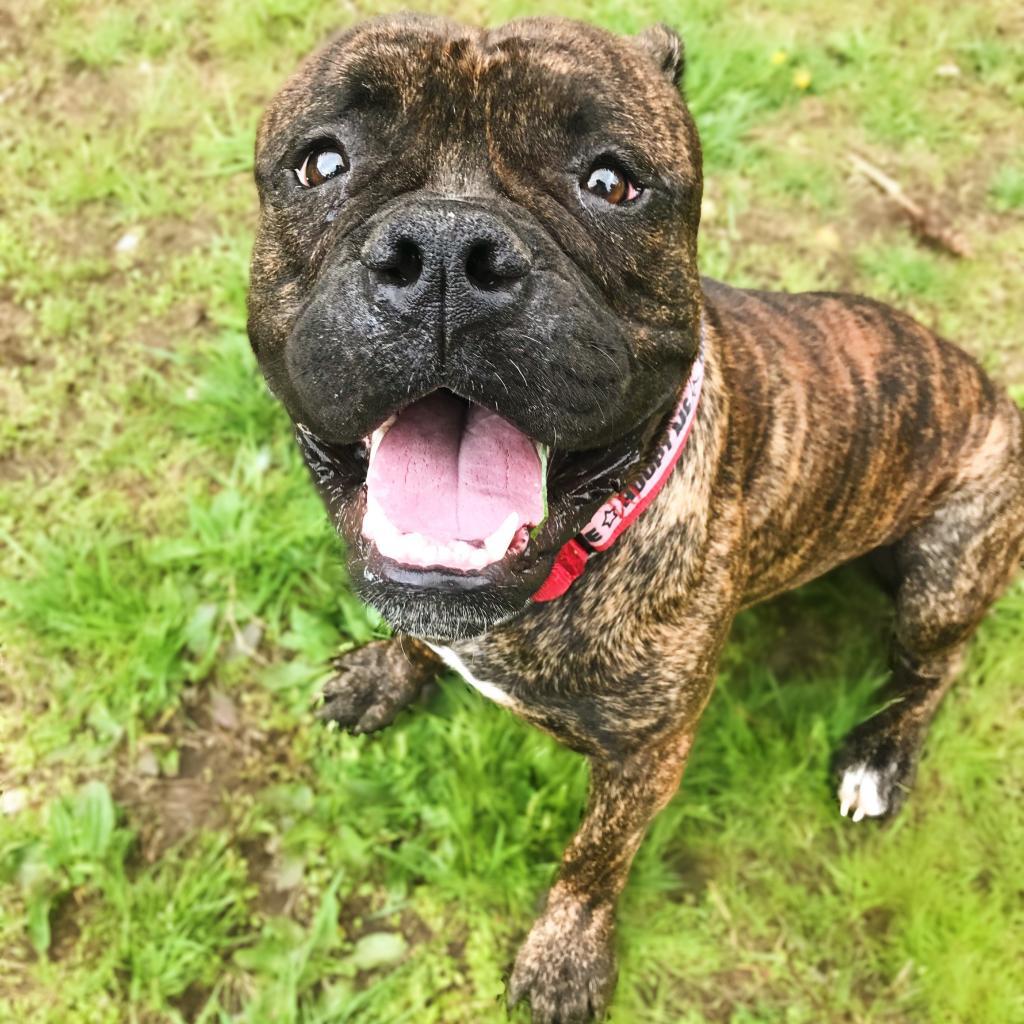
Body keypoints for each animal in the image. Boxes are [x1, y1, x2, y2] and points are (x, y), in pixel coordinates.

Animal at [249, 12, 1024, 1019]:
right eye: (322, 162)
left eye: (611, 183)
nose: (448, 252)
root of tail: (993, 393)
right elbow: (416, 635)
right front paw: (388, 671)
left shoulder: (646, 758)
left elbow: (594, 858)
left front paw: (565, 955)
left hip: (946, 571)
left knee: (936, 669)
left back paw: (880, 755)